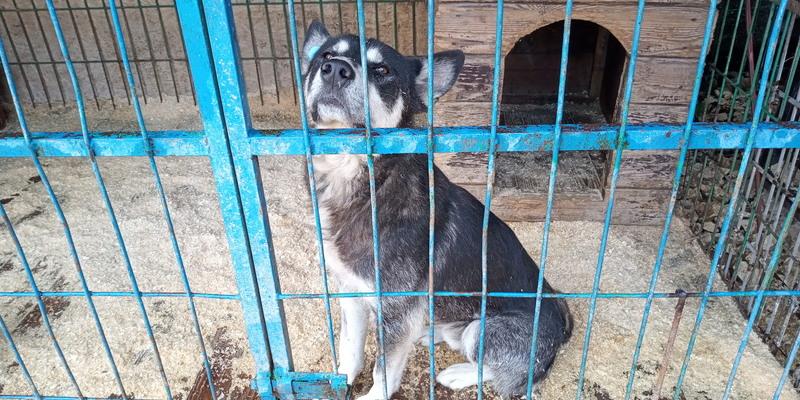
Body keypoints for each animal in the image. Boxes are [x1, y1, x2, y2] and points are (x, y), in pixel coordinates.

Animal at [300, 20, 568, 398]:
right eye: (325, 55)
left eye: (382, 71)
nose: (336, 69)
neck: (360, 182)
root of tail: (562, 328)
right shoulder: (351, 293)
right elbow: (350, 349)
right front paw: (343, 379)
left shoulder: (397, 313)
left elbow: (384, 371)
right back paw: (431, 333)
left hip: (484, 332)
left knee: (499, 372)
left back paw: (459, 373)